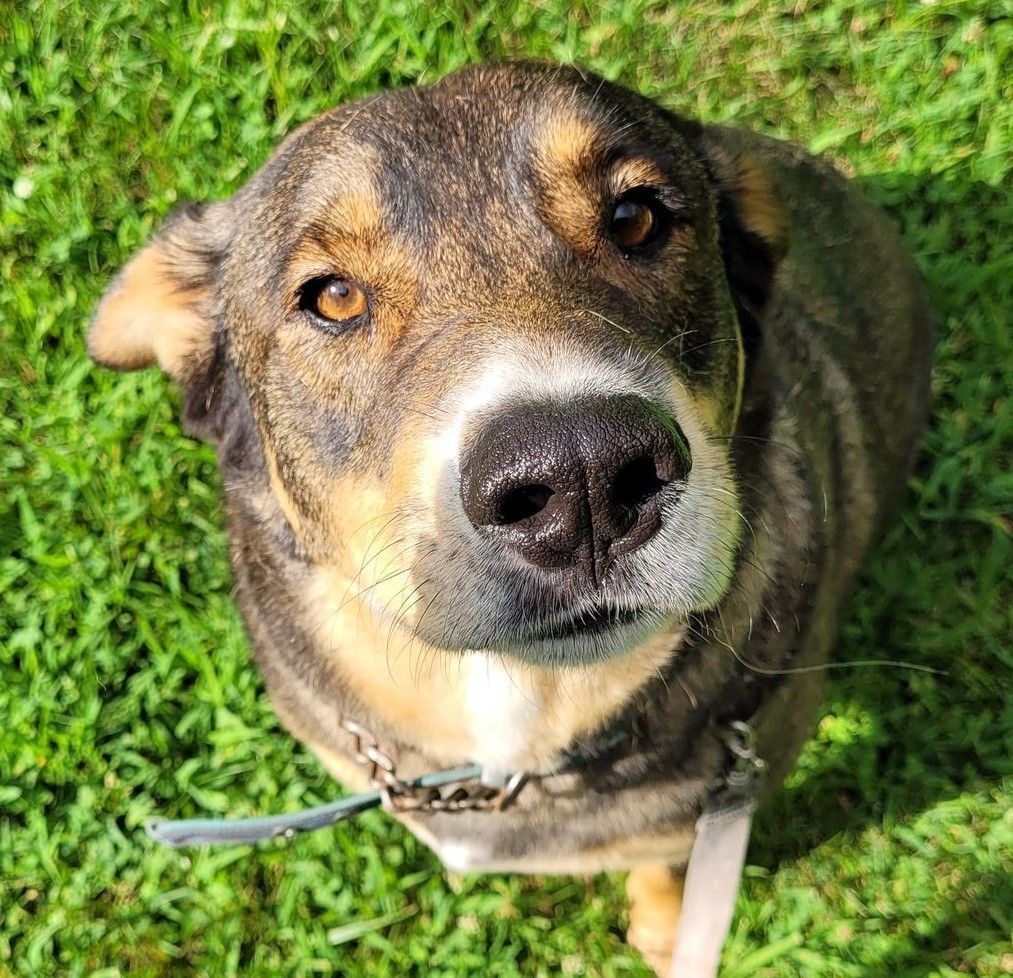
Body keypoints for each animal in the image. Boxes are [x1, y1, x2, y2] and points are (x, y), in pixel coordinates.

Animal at [88, 61, 933, 974]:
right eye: (333, 297)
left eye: (636, 218)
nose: (583, 475)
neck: (517, 728)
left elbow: (665, 861)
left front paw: (664, 928)